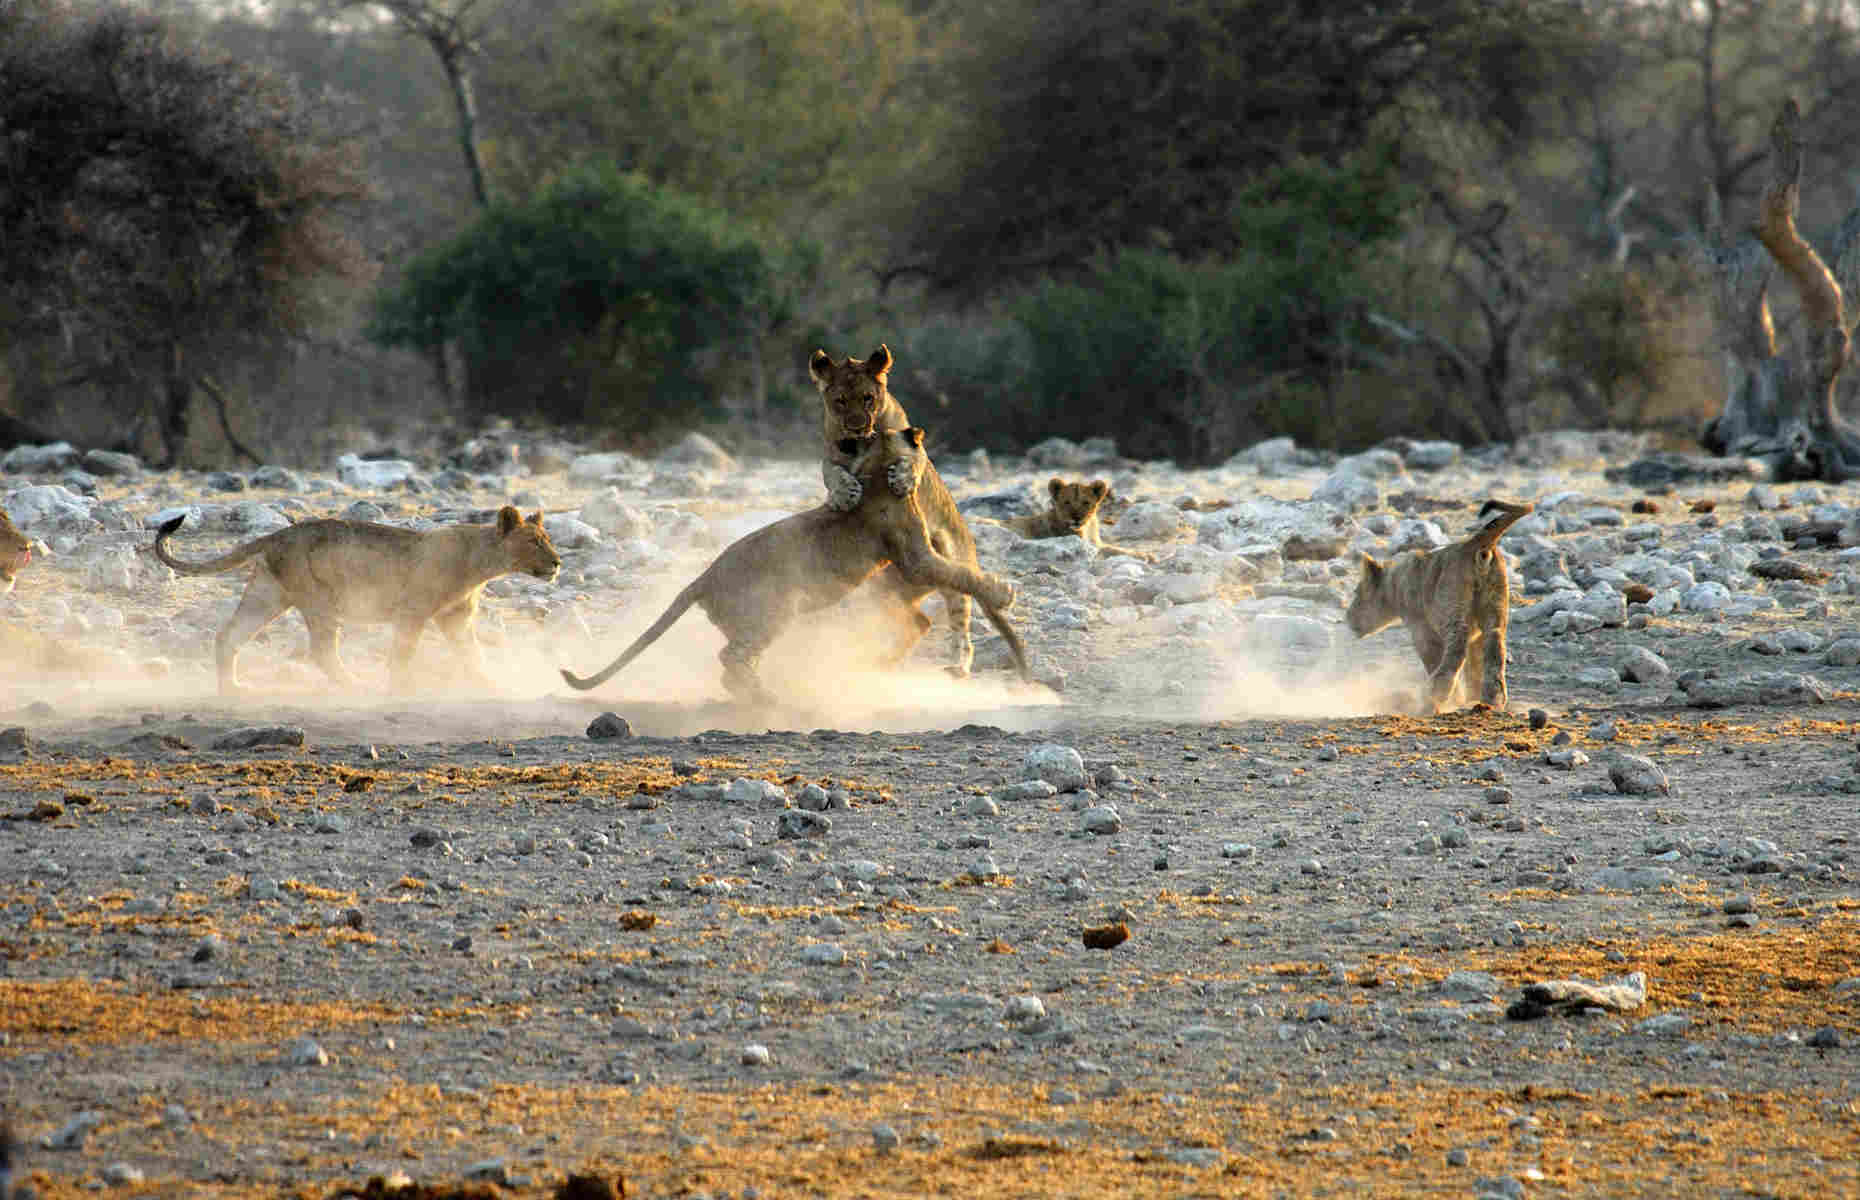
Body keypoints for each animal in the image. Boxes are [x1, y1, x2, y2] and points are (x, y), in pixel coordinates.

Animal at [154, 506, 558, 692]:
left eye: (547, 539)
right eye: (534, 541)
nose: (558, 563)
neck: (481, 560)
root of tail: (276, 535)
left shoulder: (455, 617)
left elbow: (472, 655)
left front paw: (493, 684)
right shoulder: (412, 611)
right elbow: (402, 654)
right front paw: (399, 688)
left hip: (266, 595)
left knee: (228, 636)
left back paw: (232, 690)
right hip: (319, 600)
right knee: (322, 652)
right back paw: (357, 686)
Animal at [558, 426, 1041, 703]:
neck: (878, 466)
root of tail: (701, 578)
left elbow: (956, 577)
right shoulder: (915, 558)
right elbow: (960, 573)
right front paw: (1002, 592)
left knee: (733, 661)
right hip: (773, 610)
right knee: (730, 658)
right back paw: (765, 696)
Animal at [807, 344, 996, 673]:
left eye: (868, 398)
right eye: (839, 401)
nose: (856, 429)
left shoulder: (915, 446)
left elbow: (914, 461)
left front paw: (903, 480)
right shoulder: (829, 455)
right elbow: (831, 472)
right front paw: (843, 495)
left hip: (953, 574)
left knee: (960, 625)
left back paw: (958, 666)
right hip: (885, 589)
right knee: (916, 622)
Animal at [1004, 476, 1145, 561]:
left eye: (1086, 502)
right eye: (1067, 502)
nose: (1076, 518)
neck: (1088, 528)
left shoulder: (1096, 543)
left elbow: (1114, 547)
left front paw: (1141, 553)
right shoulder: (1086, 546)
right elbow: (1110, 550)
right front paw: (1143, 555)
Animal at [1346, 498, 1532, 710]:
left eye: (1357, 593)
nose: (1347, 617)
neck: (1395, 582)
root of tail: (1474, 543)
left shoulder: (1421, 628)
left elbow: (1433, 659)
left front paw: (1456, 699)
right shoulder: (1475, 633)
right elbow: (1474, 664)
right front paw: (1471, 698)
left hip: (1451, 609)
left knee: (1457, 648)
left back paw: (1434, 695)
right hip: (1494, 607)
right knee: (1495, 646)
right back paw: (1493, 698)